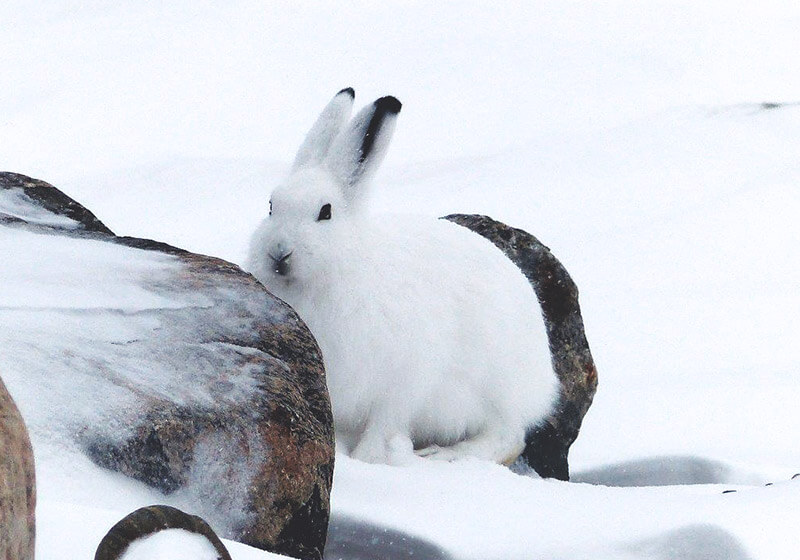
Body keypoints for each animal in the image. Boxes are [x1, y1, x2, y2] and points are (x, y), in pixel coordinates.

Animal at [247, 88, 558, 466]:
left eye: (325, 212)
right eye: (271, 206)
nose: (278, 253)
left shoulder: (406, 378)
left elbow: (385, 422)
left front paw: (368, 459)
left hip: (492, 386)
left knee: (507, 437)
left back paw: (443, 455)